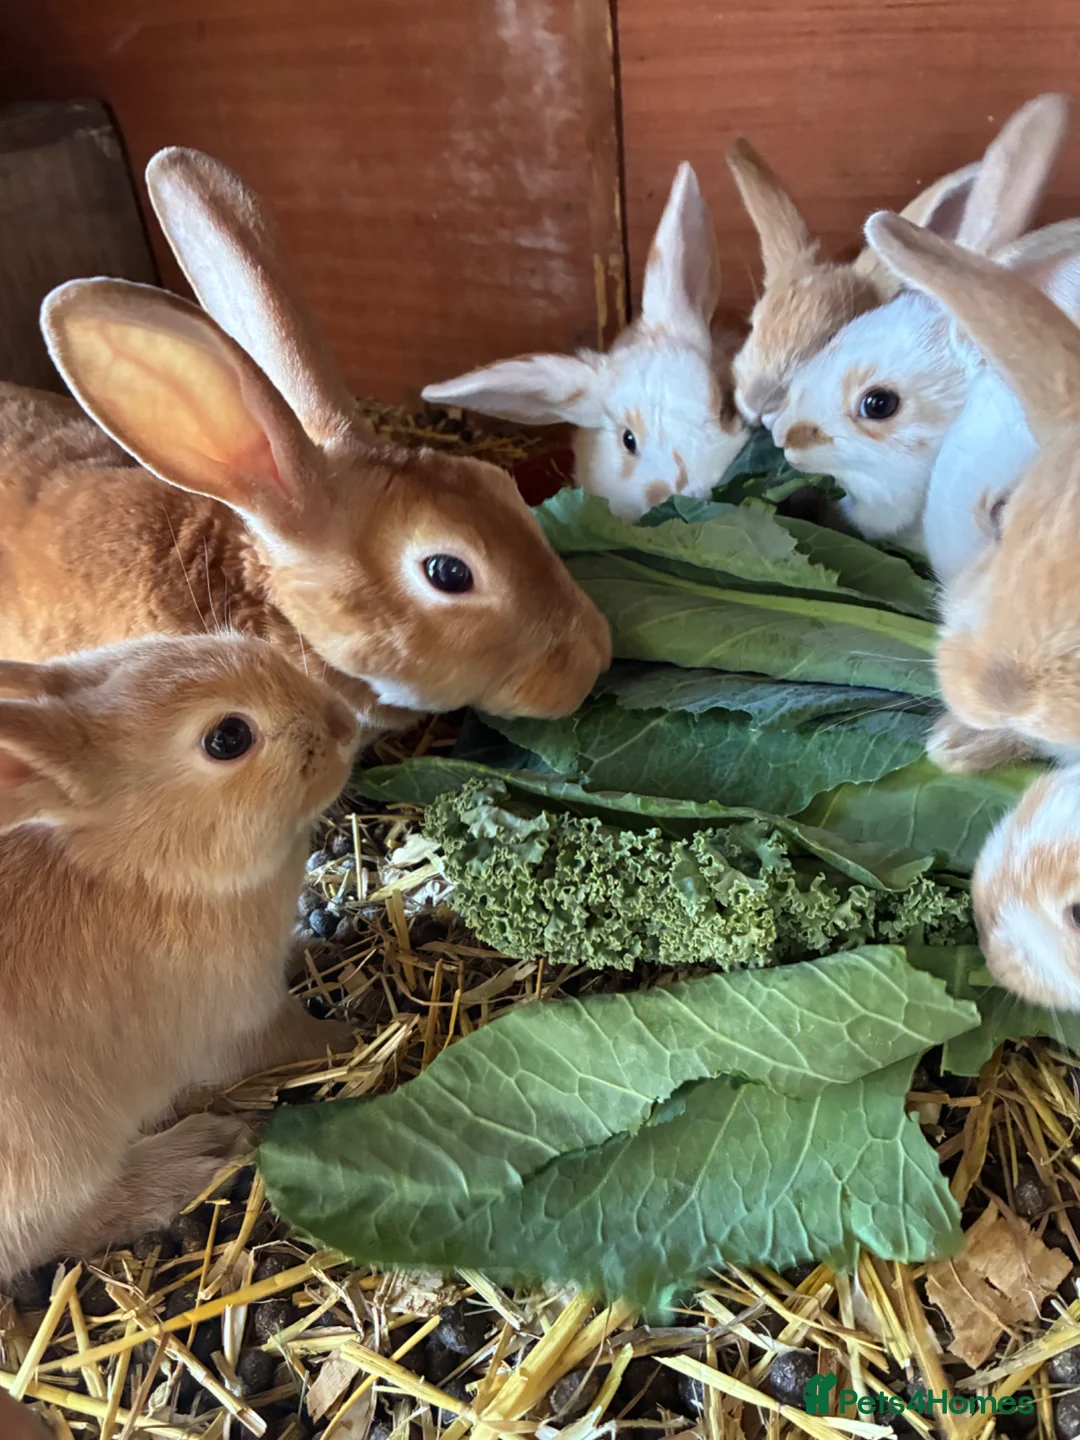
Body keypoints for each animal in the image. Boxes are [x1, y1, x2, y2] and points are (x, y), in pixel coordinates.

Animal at [0, 628, 362, 1281]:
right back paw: (196, 1157)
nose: (345, 725)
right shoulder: (241, 1022)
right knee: (55, 1231)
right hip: (58, 1149)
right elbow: (296, 1039)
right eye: (228, 738)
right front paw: (352, 1036)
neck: (149, 869)